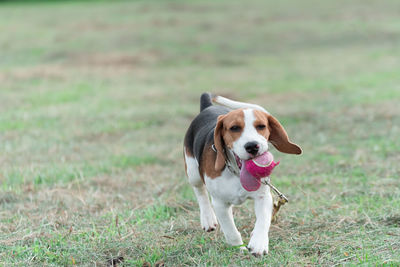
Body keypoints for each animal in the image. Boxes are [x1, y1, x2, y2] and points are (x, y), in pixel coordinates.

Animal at [183, 93, 302, 256]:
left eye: (261, 126)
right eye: (234, 128)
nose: (252, 146)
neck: (236, 173)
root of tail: (207, 107)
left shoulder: (263, 197)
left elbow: (263, 221)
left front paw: (258, 243)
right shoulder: (220, 203)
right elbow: (231, 231)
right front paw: (239, 248)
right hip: (192, 172)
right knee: (200, 192)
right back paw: (207, 219)